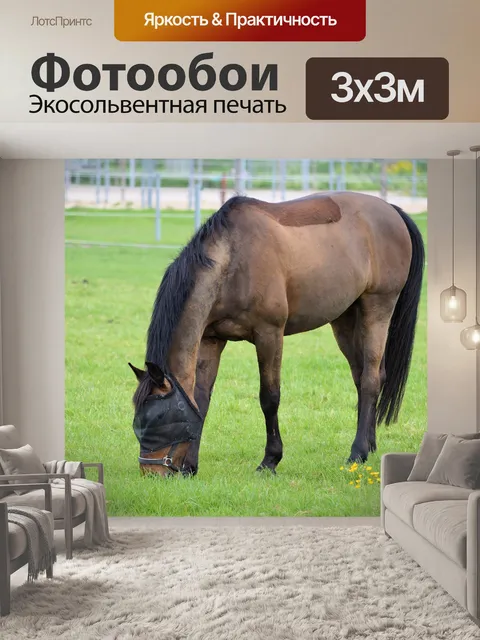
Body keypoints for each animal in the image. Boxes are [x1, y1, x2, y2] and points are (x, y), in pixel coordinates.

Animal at [129, 191, 425, 477]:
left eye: (158, 418)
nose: (150, 472)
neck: (232, 261)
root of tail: (390, 209)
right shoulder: (211, 340)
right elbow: (200, 400)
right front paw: (190, 465)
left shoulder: (269, 334)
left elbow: (269, 398)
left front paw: (270, 461)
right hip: (346, 319)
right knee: (363, 377)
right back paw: (370, 445)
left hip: (378, 307)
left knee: (371, 380)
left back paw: (358, 452)